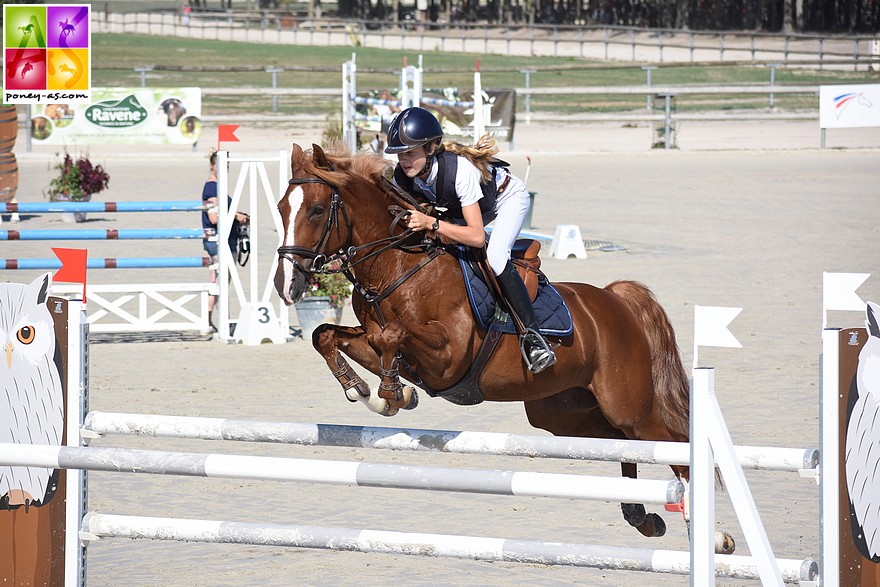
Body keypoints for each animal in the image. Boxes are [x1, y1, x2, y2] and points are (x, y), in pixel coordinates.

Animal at [276, 144, 696, 544]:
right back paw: (641, 517)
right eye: (281, 208)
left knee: (670, 443)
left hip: (628, 406)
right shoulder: (390, 348)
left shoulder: (448, 358)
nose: (286, 284)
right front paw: (367, 390)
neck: (396, 267)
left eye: (316, 210)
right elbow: (326, 334)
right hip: (563, 413)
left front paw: (393, 392)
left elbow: (390, 335)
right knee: (620, 443)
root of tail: (615, 299)